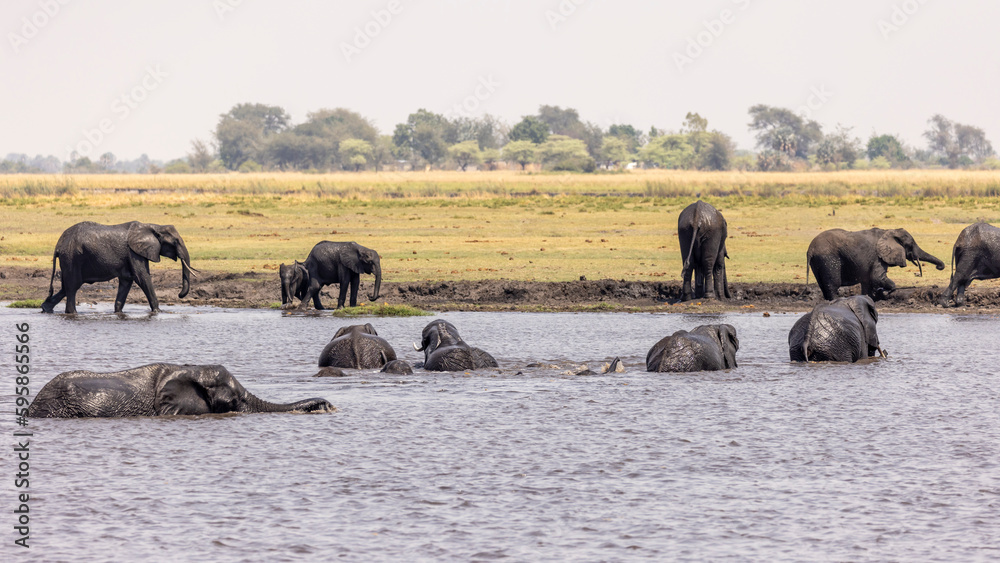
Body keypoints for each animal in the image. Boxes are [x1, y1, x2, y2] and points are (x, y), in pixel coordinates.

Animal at [41, 221, 195, 314]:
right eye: (175, 242)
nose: (179, 295)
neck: (154, 226)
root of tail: (58, 245)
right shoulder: (134, 252)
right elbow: (142, 278)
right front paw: (158, 312)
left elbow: (127, 281)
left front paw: (118, 313)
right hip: (72, 258)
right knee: (72, 287)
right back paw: (71, 313)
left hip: (69, 260)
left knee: (65, 287)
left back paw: (45, 308)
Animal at [806, 227, 945, 301]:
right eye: (910, 245)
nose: (939, 267)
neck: (889, 231)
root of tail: (810, 249)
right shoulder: (877, 256)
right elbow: (876, 277)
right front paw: (887, 291)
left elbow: (867, 282)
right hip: (828, 259)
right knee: (833, 285)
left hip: (818, 261)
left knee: (823, 286)